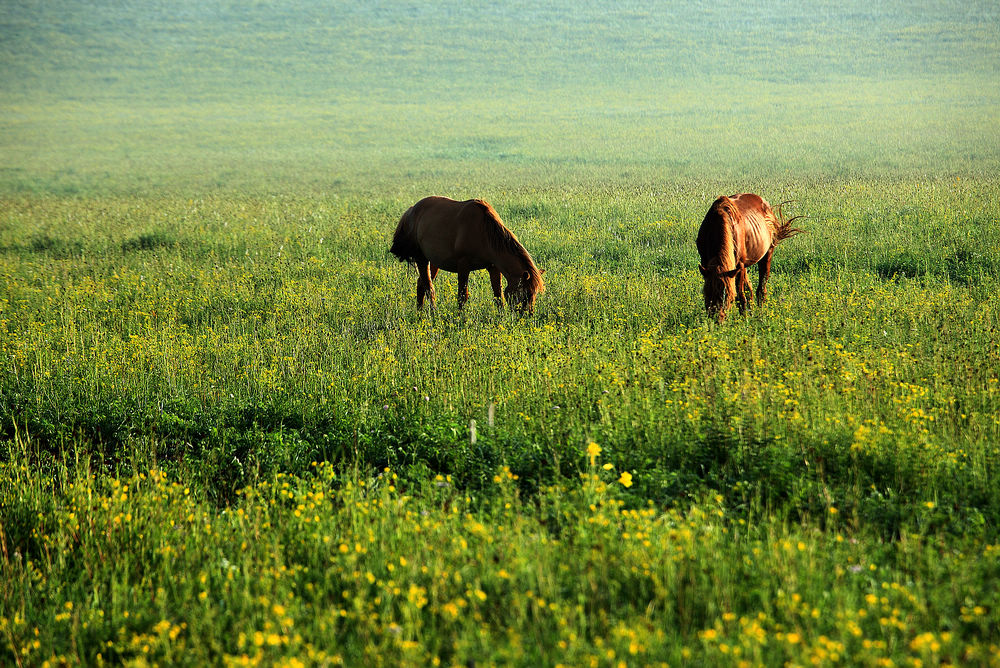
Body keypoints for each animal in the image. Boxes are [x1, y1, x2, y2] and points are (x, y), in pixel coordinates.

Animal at [390, 197, 548, 314]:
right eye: (525, 294)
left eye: (534, 294)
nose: (528, 316)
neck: (484, 231)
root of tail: (411, 211)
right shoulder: (463, 266)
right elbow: (462, 296)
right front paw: (461, 318)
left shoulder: (493, 267)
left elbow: (498, 295)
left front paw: (501, 316)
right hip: (421, 259)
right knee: (429, 288)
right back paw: (433, 313)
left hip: (433, 262)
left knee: (421, 284)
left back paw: (420, 312)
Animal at [696, 192, 804, 322]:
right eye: (707, 295)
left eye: (729, 299)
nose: (718, 321)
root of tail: (764, 203)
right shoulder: (706, 263)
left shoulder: (739, 265)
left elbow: (741, 296)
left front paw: (744, 320)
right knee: (750, 290)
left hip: (767, 253)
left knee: (761, 289)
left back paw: (760, 314)